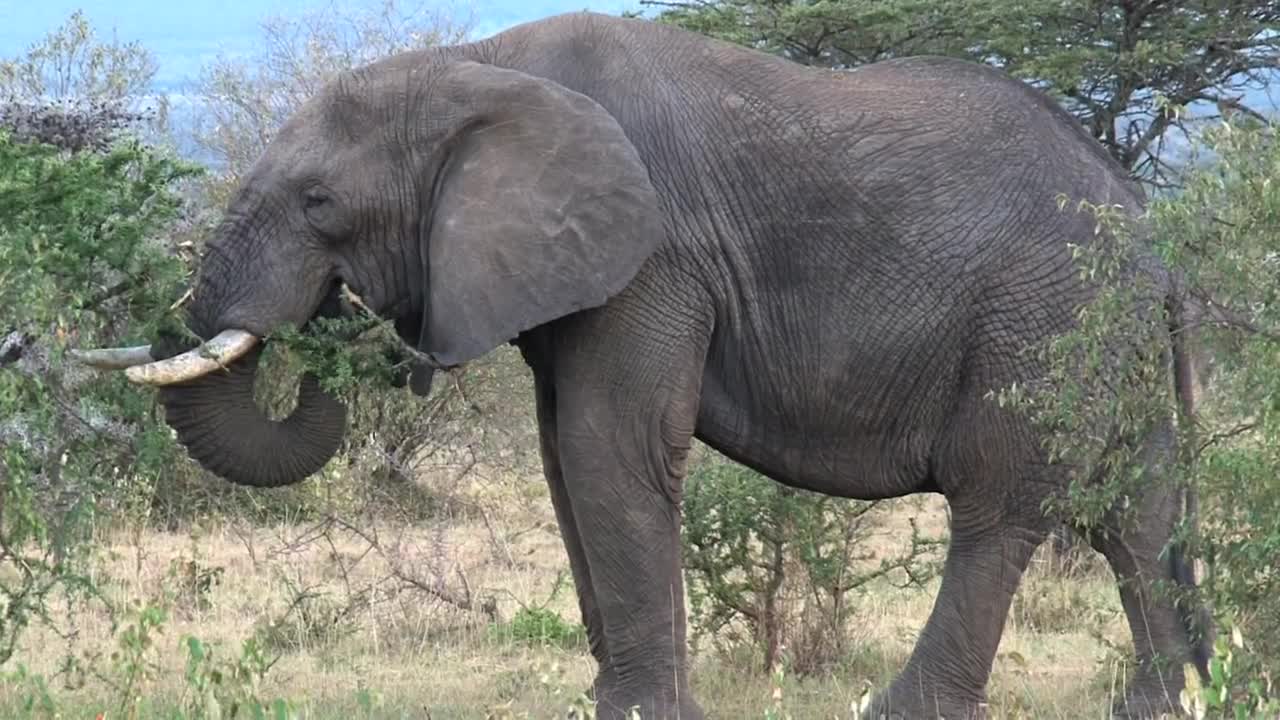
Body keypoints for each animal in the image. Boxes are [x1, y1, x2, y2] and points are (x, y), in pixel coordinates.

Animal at [75, 11, 1212, 719]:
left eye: (318, 204)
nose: (342, 318)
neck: (477, 62)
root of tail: (1152, 237)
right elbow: (560, 457)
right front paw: (610, 703)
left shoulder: (655, 256)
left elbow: (608, 447)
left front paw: (639, 711)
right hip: (1097, 327)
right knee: (1136, 504)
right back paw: (1159, 703)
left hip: (1041, 316)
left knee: (1000, 500)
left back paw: (899, 707)